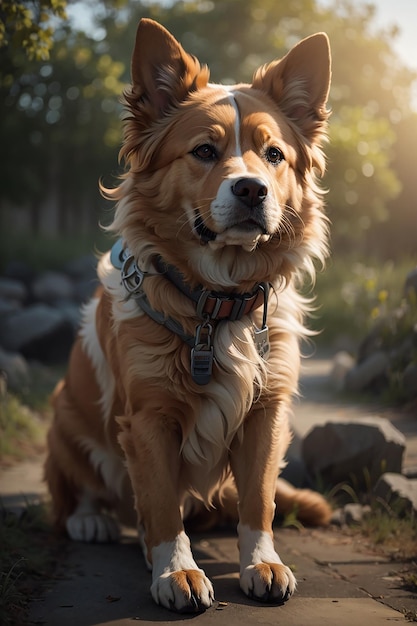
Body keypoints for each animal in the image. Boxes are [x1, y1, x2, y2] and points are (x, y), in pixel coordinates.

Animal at [44, 18, 332, 608]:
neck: (217, 299)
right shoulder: (147, 418)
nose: (252, 189)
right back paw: (92, 520)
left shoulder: (267, 411)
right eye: (203, 150)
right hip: (64, 412)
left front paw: (261, 562)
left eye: (274, 155)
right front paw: (175, 571)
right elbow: (159, 506)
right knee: (75, 494)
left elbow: (259, 499)